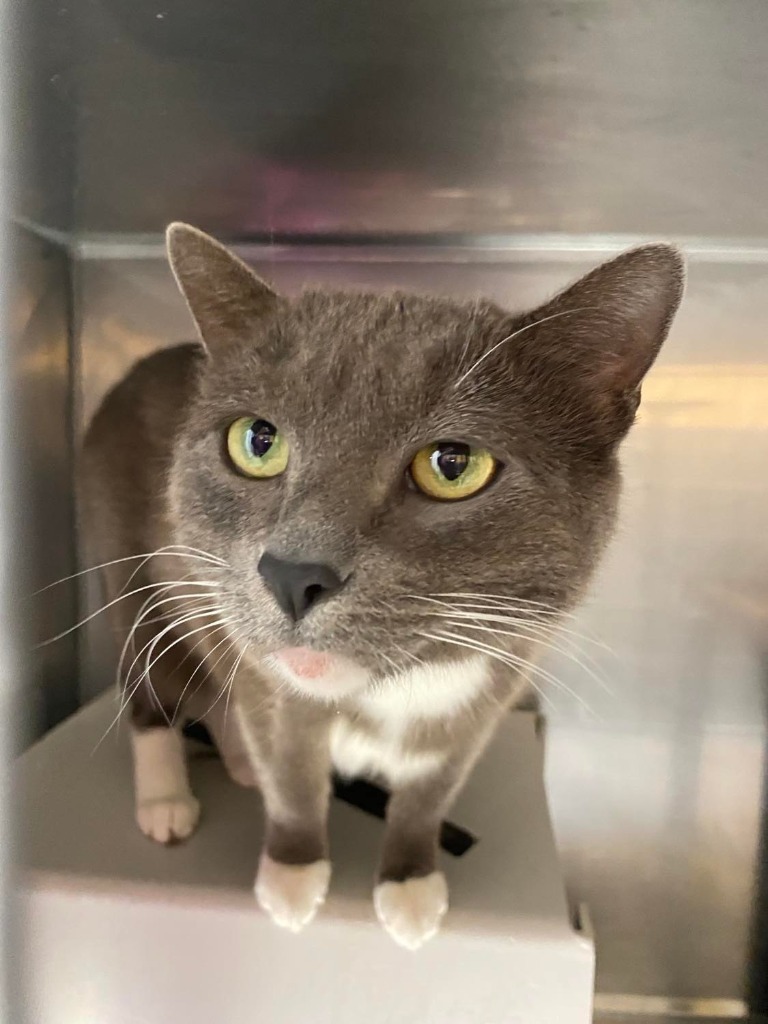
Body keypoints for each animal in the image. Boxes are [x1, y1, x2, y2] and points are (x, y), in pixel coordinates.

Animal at [82, 226, 684, 950]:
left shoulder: (484, 698)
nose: (292, 574)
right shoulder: (274, 689)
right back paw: (167, 799)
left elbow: (426, 798)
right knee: (150, 690)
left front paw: (410, 887)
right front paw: (292, 876)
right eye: (257, 441)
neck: (391, 690)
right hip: (136, 579)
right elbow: (293, 776)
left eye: (453, 465)